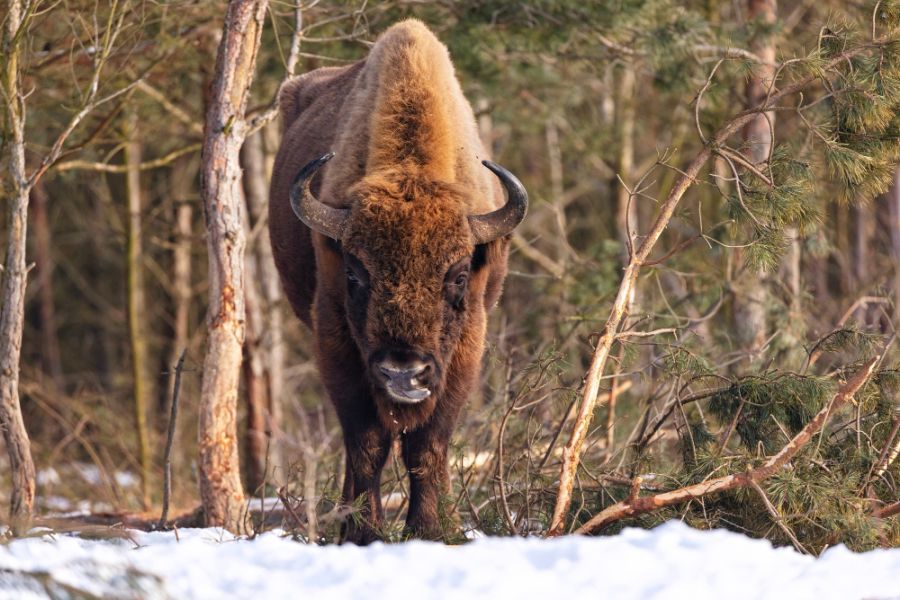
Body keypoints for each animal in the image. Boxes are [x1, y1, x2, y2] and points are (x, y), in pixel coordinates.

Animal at [268, 18, 528, 544]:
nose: (403, 373)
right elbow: (367, 441)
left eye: (458, 275)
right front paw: (362, 532)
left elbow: (427, 444)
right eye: (354, 273)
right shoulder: (336, 340)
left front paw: (432, 529)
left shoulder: (466, 348)